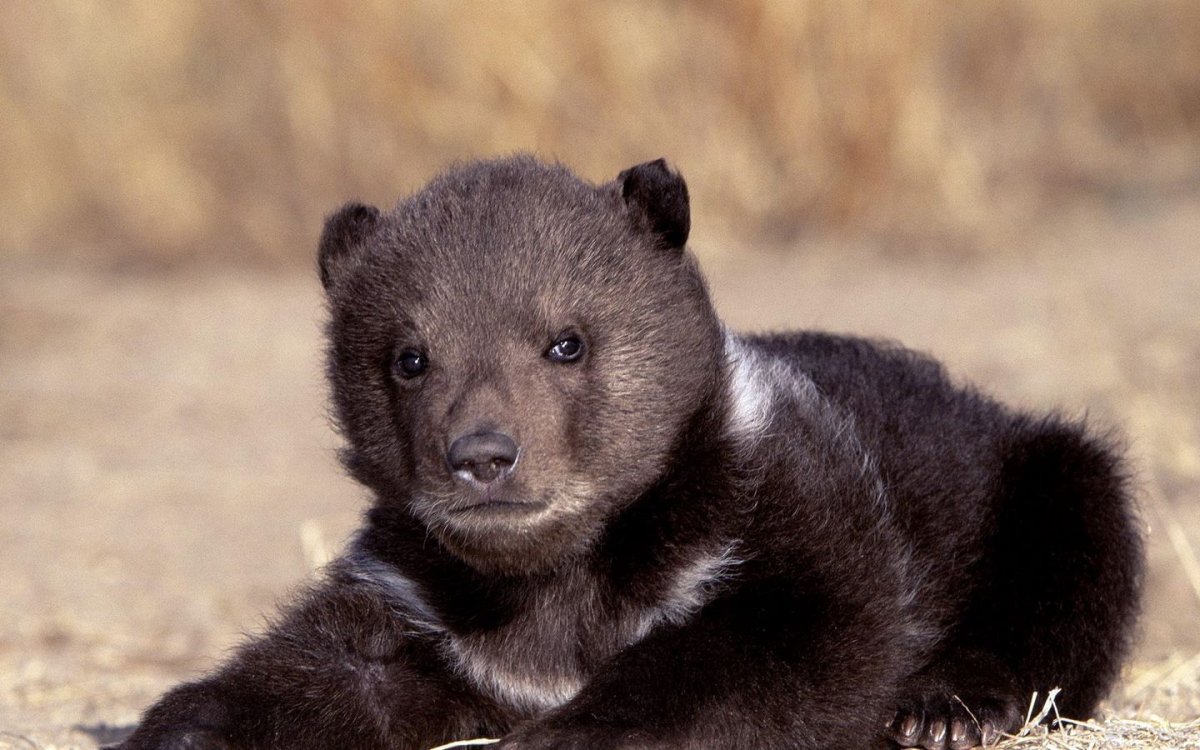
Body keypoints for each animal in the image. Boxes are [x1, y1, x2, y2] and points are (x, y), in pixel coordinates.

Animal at [114, 156, 1143, 750]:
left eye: (566, 341)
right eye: (408, 357)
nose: (482, 456)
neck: (562, 571)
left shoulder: (794, 512)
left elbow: (783, 643)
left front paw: (569, 732)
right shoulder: (422, 597)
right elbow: (334, 663)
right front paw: (184, 721)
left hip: (1035, 475)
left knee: (1073, 563)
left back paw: (945, 709)